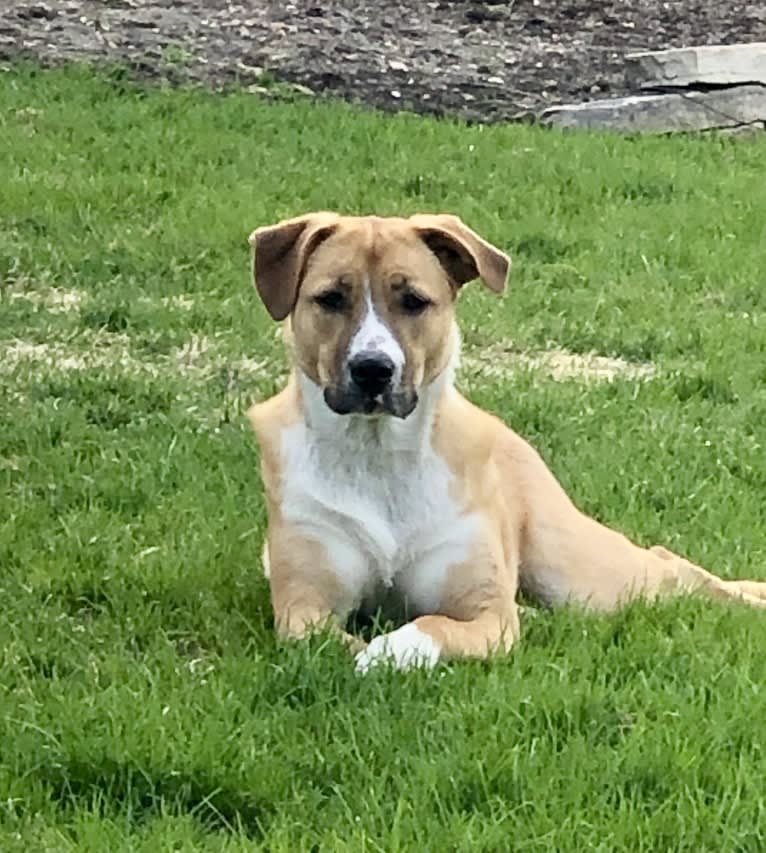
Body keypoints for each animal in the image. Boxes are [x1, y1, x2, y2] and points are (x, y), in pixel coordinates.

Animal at [248, 211, 766, 672]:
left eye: (414, 301)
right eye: (331, 298)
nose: (373, 369)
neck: (379, 454)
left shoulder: (487, 613)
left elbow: (433, 624)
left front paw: (389, 650)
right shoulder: (303, 609)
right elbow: (331, 643)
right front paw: (371, 652)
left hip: (581, 570)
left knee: (670, 566)